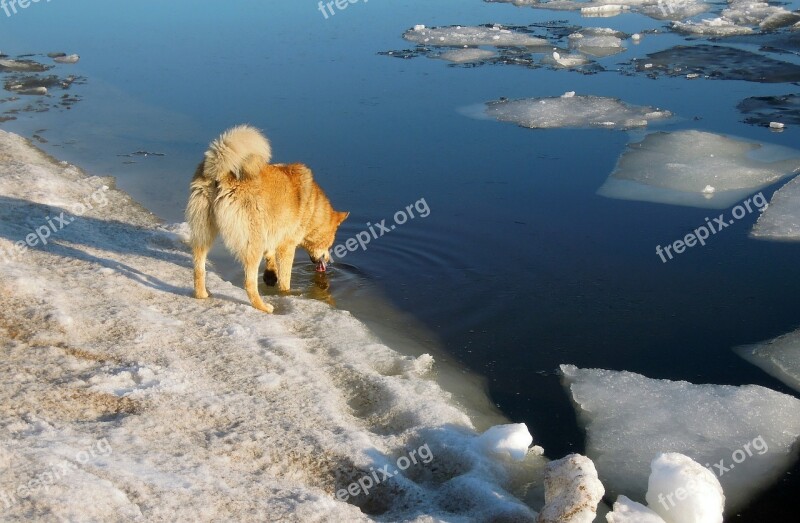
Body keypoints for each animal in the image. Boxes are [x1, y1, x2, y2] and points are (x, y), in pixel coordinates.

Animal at [189, 126, 352, 316]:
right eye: (330, 243)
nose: (326, 261)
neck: (312, 208)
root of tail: (221, 171)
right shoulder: (287, 246)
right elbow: (285, 278)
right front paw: (285, 293)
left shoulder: (273, 231)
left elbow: (270, 255)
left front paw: (270, 275)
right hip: (252, 242)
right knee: (249, 282)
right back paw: (263, 307)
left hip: (203, 232)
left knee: (198, 269)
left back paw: (202, 294)